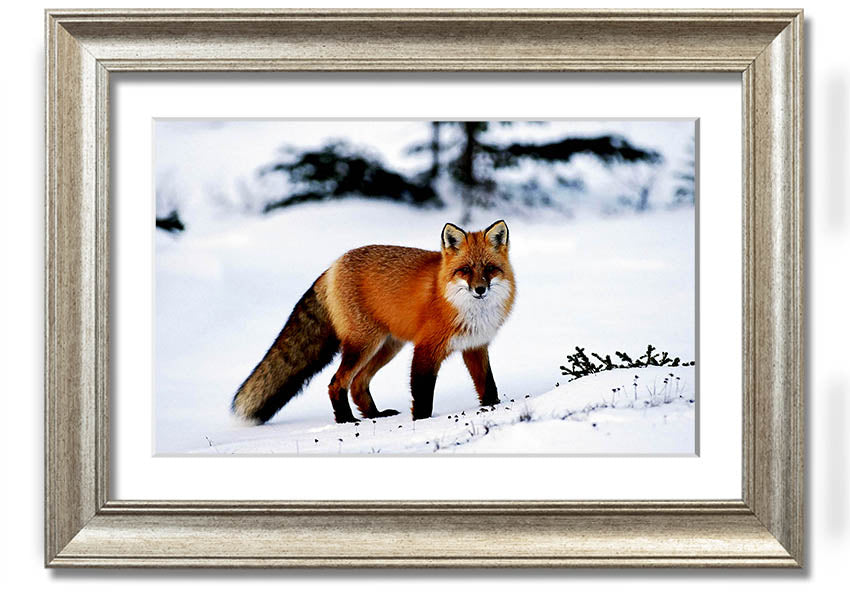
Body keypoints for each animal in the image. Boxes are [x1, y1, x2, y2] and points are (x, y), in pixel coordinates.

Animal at [232, 219, 515, 424]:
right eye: (465, 270)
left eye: (489, 269)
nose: (480, 289)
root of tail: (333, 265)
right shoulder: (426, 348)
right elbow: (422, 394)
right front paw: (422, 422)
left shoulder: (475, 346)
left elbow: (488, 385)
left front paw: (493, 408)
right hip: (364, 344)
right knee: (337, 383)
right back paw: (346, 421)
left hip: (387, 346)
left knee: (358, 384)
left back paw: (374, 415)